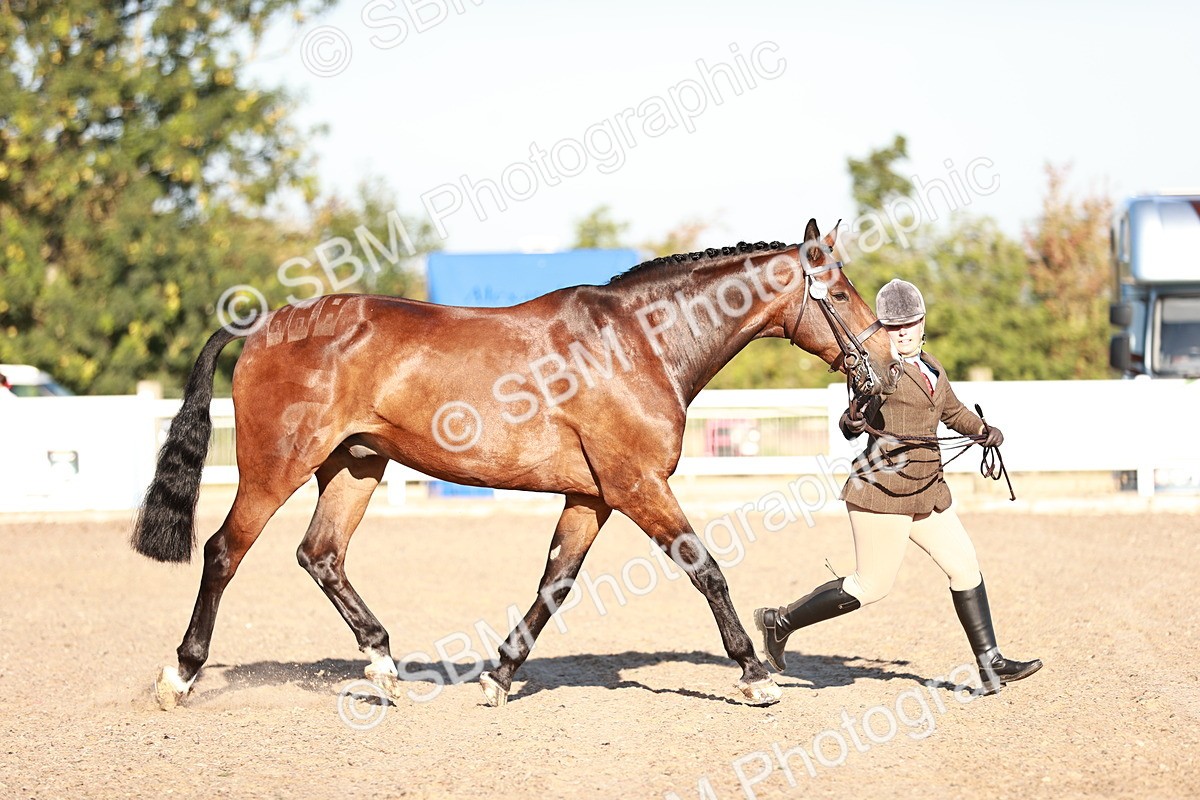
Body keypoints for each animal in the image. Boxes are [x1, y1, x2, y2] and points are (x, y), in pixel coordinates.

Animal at [132, 218, 900, 710]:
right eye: (838, 293)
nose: (888, 365)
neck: (640, 343)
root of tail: (264, 324)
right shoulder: (638, 485)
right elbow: (705, 568)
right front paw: (754, 673)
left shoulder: (593, 497)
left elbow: (555, 583)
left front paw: (498, 676)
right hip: (276, 468)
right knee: (224, 552)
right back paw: (181, 677)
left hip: (354, 467)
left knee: (320, 555)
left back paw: (383, 666)